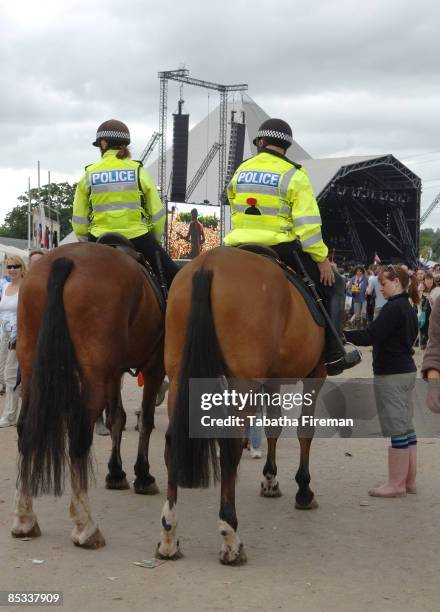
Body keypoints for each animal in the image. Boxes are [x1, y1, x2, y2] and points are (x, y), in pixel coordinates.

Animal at [13, 241, 166, 548]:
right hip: (94, 376)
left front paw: (116, 472)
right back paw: (86, 525)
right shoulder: (153, 367)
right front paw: (142, 475)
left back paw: (25, 518)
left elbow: (117, 418)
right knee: (79, 434)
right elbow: (144, 421)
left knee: (25, 430)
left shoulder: (115, 372)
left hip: (32, 364)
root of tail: (64, 260)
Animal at [156, 247, 324, 564]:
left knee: (172, 443)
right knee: (230, 446)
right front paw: (304, 488)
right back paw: (230, 535)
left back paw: (169, 534)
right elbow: (304, 432)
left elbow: (273, 427)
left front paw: (270, 479)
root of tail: (207, 265)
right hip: (241, 384)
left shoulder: (271, 381)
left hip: (179, 377)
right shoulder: (316, 375)